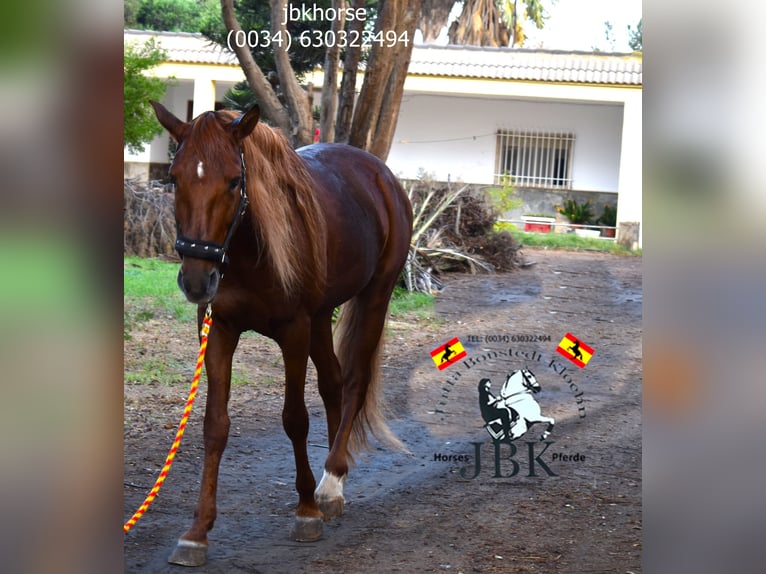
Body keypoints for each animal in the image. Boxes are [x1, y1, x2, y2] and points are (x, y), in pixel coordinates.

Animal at [150, 102, 414, 568]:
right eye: (175, 178)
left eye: (235, 181)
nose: (197, 280)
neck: (248, 251)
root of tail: (380, 174)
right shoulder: (218, 328)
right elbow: (215, 425)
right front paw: (197, 532)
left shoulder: (294, 331)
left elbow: (295, 419)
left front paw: (306, 511)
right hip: (322, 316)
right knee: (332, 382)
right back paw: (335, 477)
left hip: (375, 297)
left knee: (354, 381)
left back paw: (330, 480)